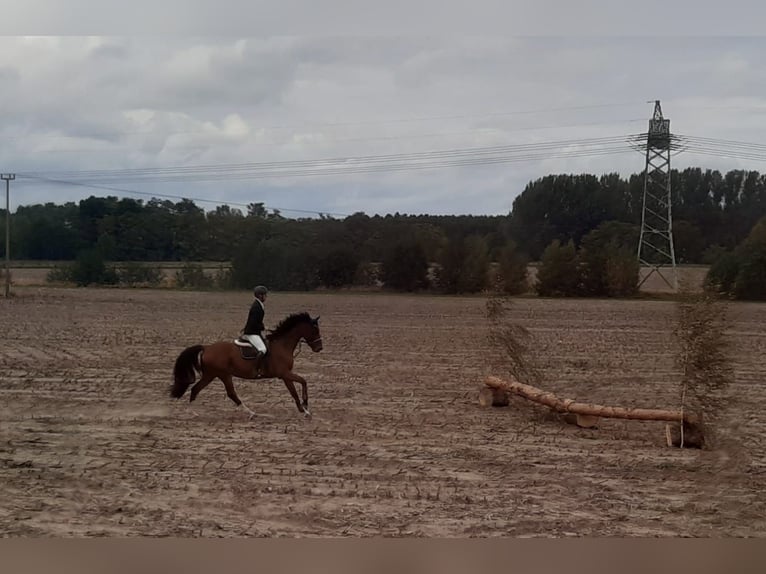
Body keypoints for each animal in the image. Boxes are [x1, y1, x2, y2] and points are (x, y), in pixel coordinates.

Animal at [170, 316, 322, 418]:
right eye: (315, 331)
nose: (319, 348)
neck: (282, 345)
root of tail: (206, 348)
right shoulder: (284, 374)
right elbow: (300, 384)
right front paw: (305, 408)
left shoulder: (285, 375)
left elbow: (296, 388)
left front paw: (303, 408)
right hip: (220, 374)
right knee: (227, 393)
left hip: (213, 375)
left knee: (199, 389)